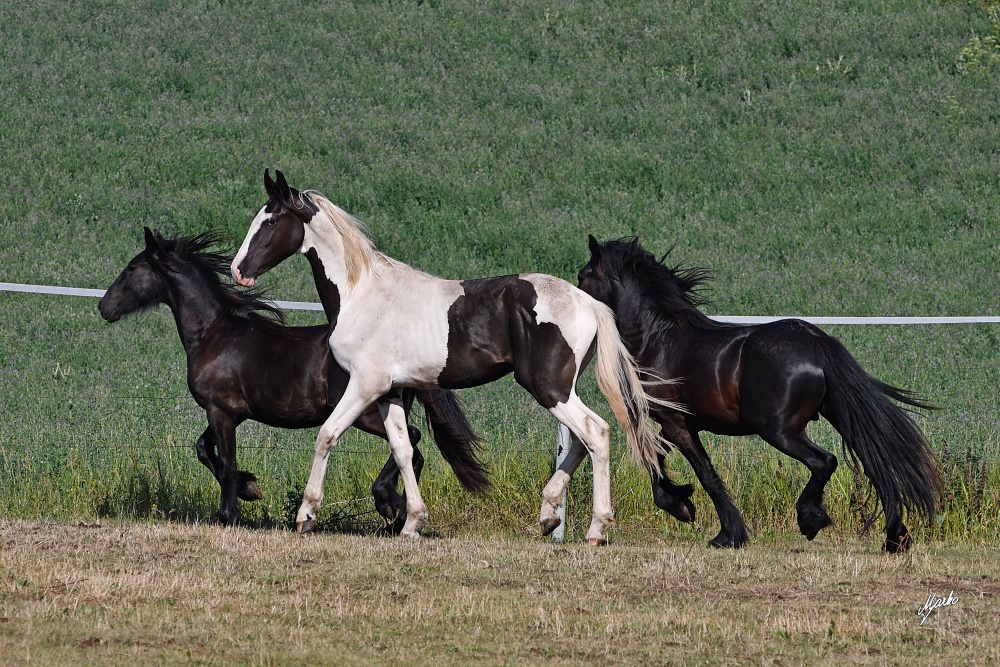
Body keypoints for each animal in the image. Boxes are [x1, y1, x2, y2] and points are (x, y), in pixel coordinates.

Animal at [99, 228, 490, 528]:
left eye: (132, 268)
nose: (105, 307)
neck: (213, 333)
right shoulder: (229, 412)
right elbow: (203, 450)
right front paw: (250, 488)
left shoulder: (220, 411)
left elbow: (224, 462)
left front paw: (229, 513)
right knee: (413, 449)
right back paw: (396, 513)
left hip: (365, 412)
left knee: (412, 441)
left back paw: (388, 505)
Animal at [230, 170, 676, 544]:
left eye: (271, 222)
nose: (239, 271)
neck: (363, 294)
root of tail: (590, 303)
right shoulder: (391, 392)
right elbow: (403, 450)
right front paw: (412, 523)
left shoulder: (364, 385)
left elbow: (326, 435)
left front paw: (306, 515)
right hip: (561, 389)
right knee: (582, 442)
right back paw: (549, 516)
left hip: (549, 387)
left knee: (596, 433)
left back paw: (596, 529)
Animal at [576, 236, 940, 552]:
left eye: (582, 276)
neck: (658, 338)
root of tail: (816, 342)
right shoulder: (677, 425)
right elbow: (659, 458)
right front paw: (682, 502)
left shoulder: (676, 424)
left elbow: (702, 473)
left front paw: (722, 532)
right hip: (836, 417)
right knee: (875, 464)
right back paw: (895, 539)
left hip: (778, 430)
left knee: (825, 461)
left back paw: (811, 520)